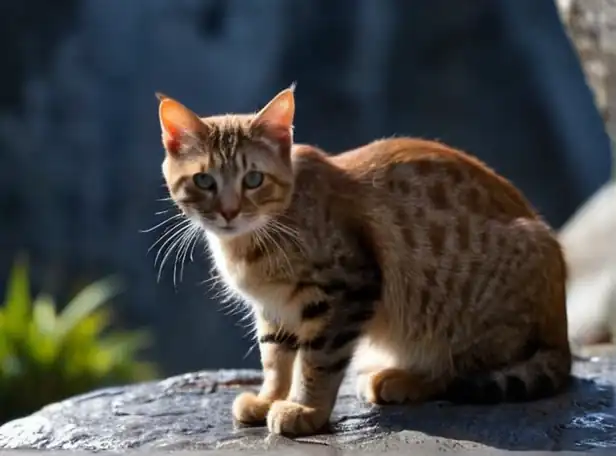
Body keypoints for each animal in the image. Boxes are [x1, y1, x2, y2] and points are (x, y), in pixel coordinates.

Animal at [155, 86, 572, 438]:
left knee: (461, 369)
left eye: (254, 179)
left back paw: (403, 379)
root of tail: (561, 332)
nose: (229, 212)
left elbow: (317, 361)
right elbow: (274, 358)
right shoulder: (274, 308)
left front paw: (305, 410)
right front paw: (269, 398)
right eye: (204, 181)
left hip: (464, 311)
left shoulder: (347, 288)